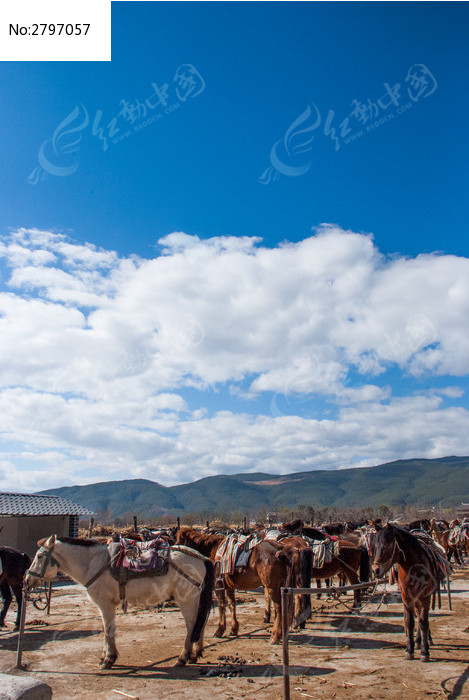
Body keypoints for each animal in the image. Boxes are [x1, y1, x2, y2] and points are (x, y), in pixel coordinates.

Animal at [25, 536, 214, 668]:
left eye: (40, 556)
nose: (27, 580)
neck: (93, 563)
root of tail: (201, 557)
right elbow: (106, 630)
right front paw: (105, 656)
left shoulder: (105, 605)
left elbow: (108, 630)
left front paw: (108, 660)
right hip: (195, 600)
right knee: (200, 623)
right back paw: (196, 654)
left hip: (186, 600)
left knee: (192, 626)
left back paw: (183, 658)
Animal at [176, 528, 308, 644]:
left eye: (179, 541)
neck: (214, 549)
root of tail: (283, 549)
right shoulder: (229, 587)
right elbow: (232, 605)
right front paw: (234, 629)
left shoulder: (218, 585)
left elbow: (221, 606)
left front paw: (220, 630)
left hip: (272, 588)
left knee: (279, 609)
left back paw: (275, 636)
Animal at [372, 524, 444, 660]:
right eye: (376, 546)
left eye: (388, 545)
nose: (375, 570)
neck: (414, 568)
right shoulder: (407, 597)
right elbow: (409, 622)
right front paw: (409, 650)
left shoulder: (425, 597)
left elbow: (423, 622)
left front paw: (425, 652)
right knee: (416, 614)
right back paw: (418, 642)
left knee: (422, 618)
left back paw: (426, 640)